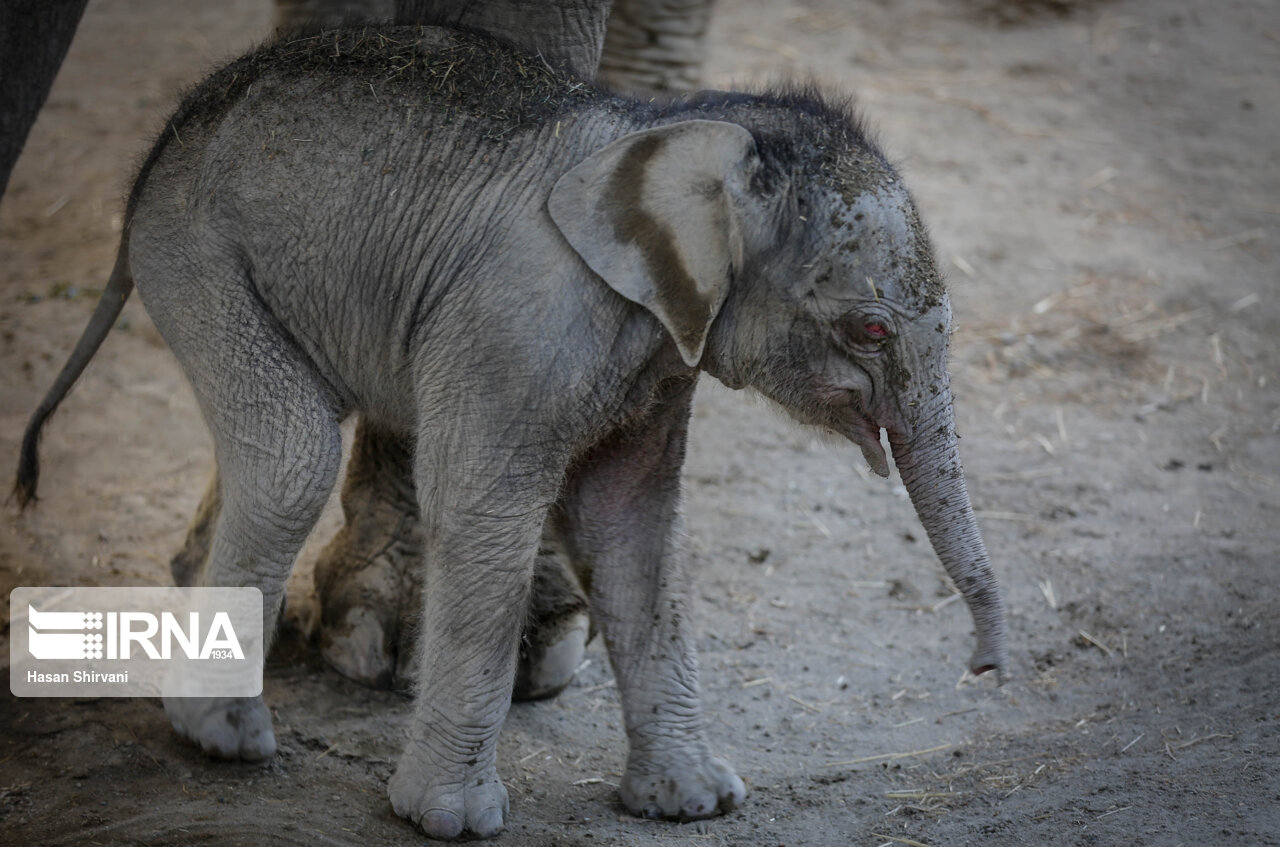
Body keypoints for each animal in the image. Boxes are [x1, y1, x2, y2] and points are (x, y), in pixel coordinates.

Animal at [15, 24, 1003, 844]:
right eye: (870, 328)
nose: (985, 668)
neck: (686, 129)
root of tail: (165, 138)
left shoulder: (662, 354)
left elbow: (631, 524)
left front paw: (695, 803)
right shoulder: (516, 325)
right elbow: (485, 508)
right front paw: (449, 820)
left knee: (275, 433)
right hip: (198, 254)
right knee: (294, 455)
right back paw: (223, 736)